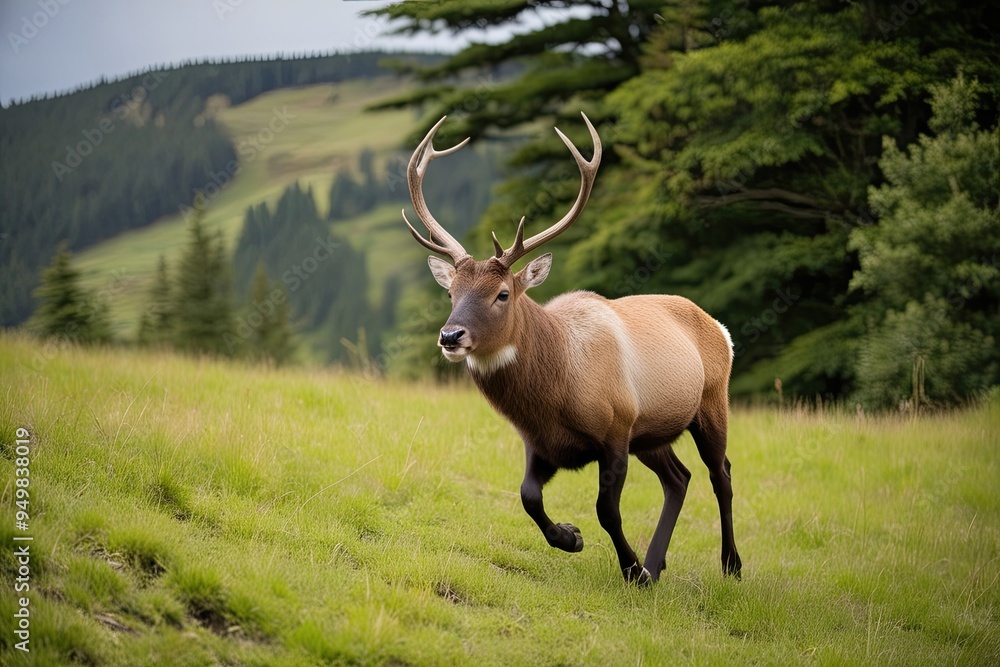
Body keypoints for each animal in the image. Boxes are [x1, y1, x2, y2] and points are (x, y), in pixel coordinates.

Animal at [401, 112, 742, 585]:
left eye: (502, 294)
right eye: (450, 292)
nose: (451, 336)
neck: (559, 391)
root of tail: (721, 328)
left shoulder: (617, 426)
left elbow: (606, 510)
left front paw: (630, 570)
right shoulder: (541, 443)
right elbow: (527, 496)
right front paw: (572, 537)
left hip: (711, 401)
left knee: (720, 473)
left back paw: (729, 564)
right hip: (652, 432)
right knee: (679, 477)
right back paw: (657, 563)